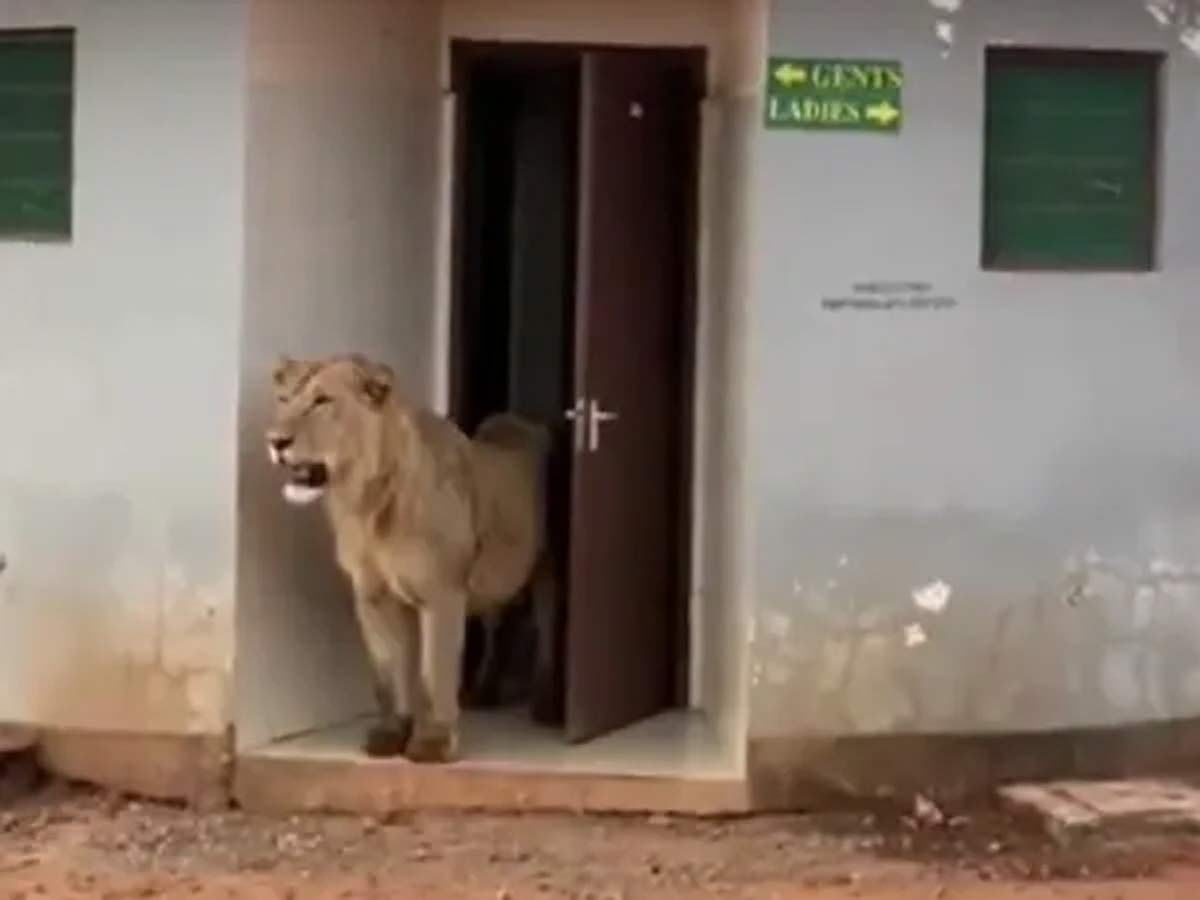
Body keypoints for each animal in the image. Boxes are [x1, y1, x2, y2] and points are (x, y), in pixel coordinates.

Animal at [265, 353, 554, 763]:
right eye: (284, 399)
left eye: (322, 401)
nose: (275, 441)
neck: (365, 505)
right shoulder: (372, 595)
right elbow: (388, 674)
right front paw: (390, 735)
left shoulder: (443, 591)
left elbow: (434, 671)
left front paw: (432, 744)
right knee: (499, 624)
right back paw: (484, 692)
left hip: (548, 567)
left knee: (548, 623)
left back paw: (545, 703)